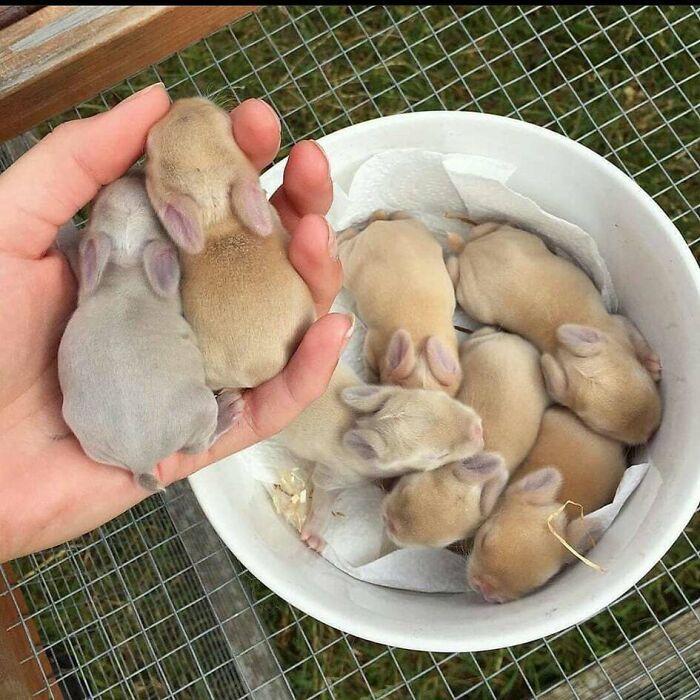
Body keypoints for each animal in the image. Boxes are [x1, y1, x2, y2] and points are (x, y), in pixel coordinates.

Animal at [58, 172, 239, 492]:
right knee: (197, 447)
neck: (127, 265)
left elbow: (77, 250)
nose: (134, 173)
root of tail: (141, 461)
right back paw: (227, 414)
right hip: (202, 408)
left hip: (88, 440)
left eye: (97, 202)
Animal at [278, 363, 484, 550]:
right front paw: (314, 535)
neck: (366, 421)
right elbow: (324, 496)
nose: (478, 429)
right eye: (437, 456)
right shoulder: (339, 473)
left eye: (442, 397)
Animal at [337, 210, 462, 395]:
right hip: (350, 257)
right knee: (343, 243)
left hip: (413, 226)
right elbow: (370, 365)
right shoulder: (373, 343)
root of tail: (382, 226)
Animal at [446, 222, 661, 445]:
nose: (651, 432)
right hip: (475, 302)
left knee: (488, 228)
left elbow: (637, 337)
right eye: (602, 430)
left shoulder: (621, 326)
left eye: (643, 379)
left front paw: (652, 364)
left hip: (519, 238)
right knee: (455, 267)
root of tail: (470, 248)